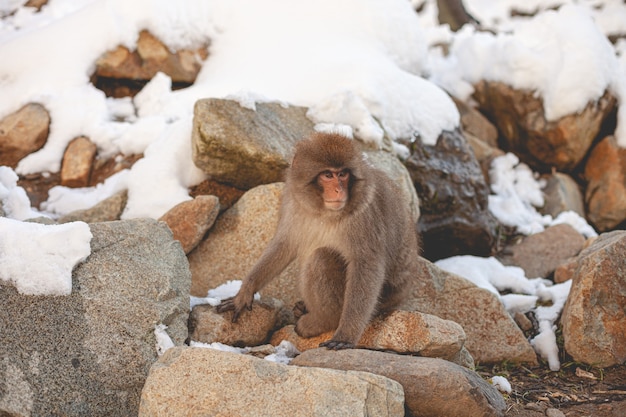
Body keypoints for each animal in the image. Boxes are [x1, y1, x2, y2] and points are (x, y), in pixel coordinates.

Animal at [217, 132, 422, 346]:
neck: (323, 212)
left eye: (343, 174)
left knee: (322, 257)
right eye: (328, 175)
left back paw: (322, 321)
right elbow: (284, 244)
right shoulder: (293, 201)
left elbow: (366, 265)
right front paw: (245, 292)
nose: (339, 190)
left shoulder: (364, 215)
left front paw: (346, 334)